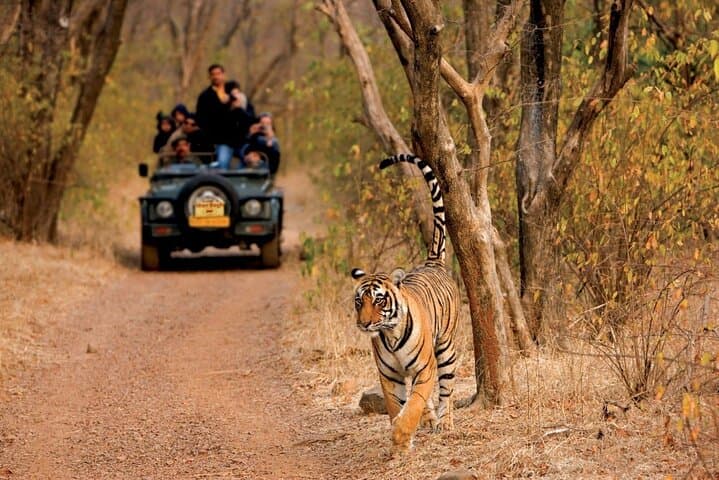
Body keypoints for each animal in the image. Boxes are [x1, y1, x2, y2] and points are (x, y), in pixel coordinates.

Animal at [351, 153, 460, 451]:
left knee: (446, 389)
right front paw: (400, 441)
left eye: (379, 300)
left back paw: (445, 422)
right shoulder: (389, 376)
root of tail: (432, 262)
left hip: (445, 347)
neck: (390, 334)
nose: (365, 324)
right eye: (358, 302)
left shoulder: (425, 368)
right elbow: (395, 405)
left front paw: (402, 434)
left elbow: (414, 403)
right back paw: (431, 420)